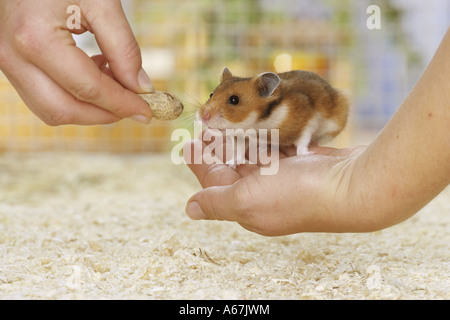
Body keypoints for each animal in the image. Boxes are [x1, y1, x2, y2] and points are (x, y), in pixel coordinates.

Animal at [199, 68, 350, 156]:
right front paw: (233, 163)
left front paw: (306, 153)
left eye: (234, 100)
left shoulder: (308, 122)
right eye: (211, 94)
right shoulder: (240, 136)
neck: (257, 123)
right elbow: (239, 150)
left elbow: (303, 140)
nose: (203, 116)